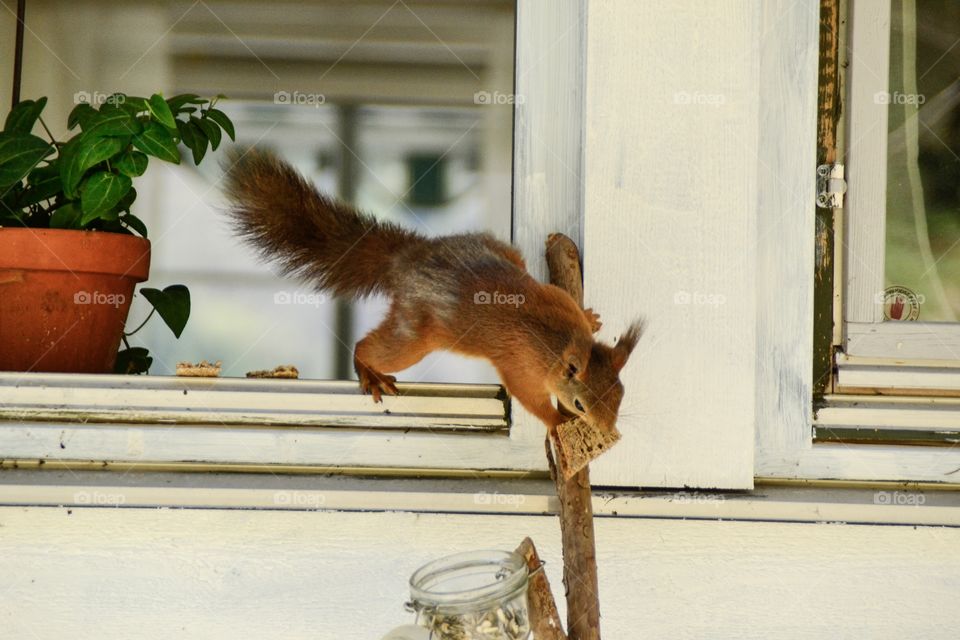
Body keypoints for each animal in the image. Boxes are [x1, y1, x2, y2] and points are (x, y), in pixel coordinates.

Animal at [225, 150, 640, 436]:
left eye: (620, 394)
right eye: (580, 404)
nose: (610, 430)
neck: (559, 340)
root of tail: (405, 258)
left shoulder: (558, 302)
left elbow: (564, 297)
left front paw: (590, 317)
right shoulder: (519, 366)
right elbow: (528, 397)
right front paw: (556, 422)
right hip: (414, 337)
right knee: (370, 347)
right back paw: (370, 373)